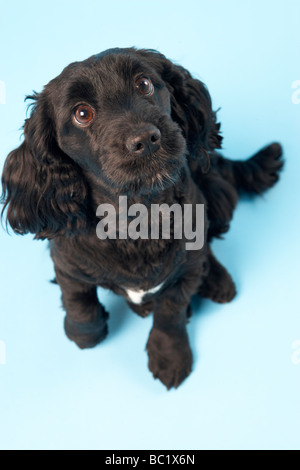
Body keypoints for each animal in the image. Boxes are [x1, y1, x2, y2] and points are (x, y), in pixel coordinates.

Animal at [0, 47, 284, 388]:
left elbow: (170, 313)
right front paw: (85, 332)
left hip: (215, 193)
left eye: (144, 84)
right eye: (82, 114)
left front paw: (169, 355)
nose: (146, 139)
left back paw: (216, 279)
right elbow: (78, 300)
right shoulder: (66, 262)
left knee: (208, 245)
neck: (139, 216)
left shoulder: (183, 271)